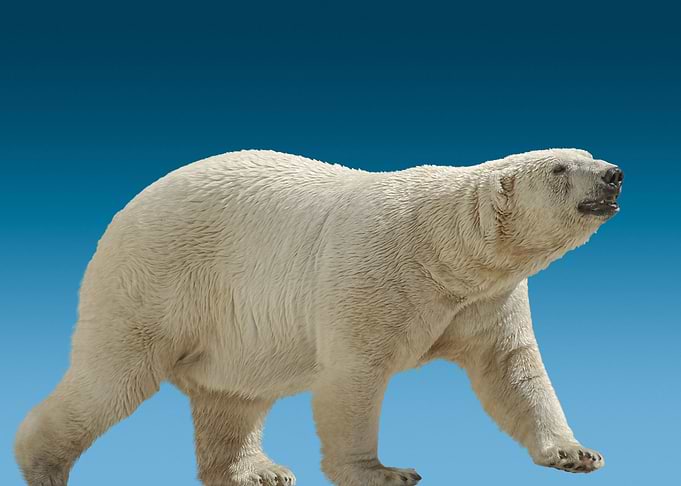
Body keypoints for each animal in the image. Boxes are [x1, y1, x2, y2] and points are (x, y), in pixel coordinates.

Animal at [15, 148, 623, 486]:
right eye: (561, 167)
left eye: (588, 153)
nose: (613, 173)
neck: (445, 252)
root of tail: (128, 207)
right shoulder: (376, 272)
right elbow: (353, 376)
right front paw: (385, 473)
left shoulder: (486, 300)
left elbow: (512, 371)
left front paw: (576, 453)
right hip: (157, 279)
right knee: (113, 377)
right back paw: (43, 466)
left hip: (232, 331)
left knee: (233, 396)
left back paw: (257, 472)